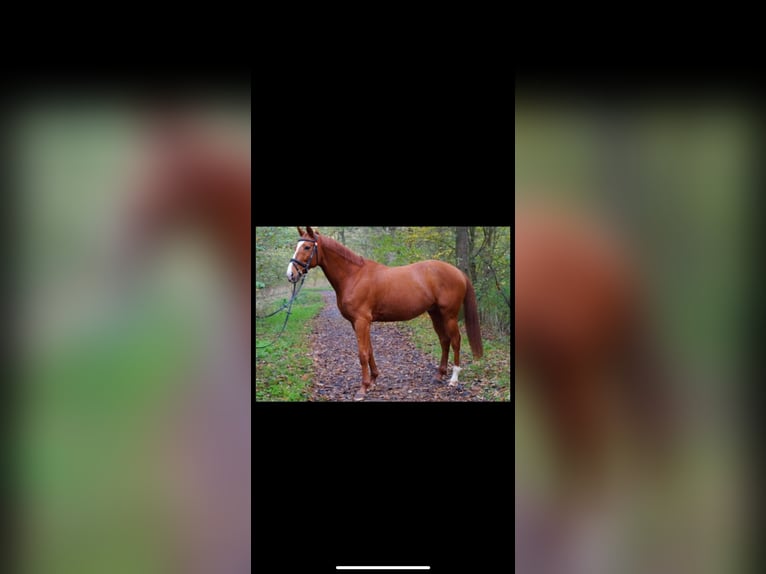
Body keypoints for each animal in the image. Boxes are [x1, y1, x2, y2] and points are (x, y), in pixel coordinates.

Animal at [287, 227, 483, 401]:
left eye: (307, 247)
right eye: (297, 245)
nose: (291, 274)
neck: (354, 275)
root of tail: (458, 272)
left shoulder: (361, 321)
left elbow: (362, 354)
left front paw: (363, 388)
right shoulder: (359, 322)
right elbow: (370, 350)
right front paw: (373, 380)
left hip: (449, 315)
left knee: (456, 340)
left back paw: (454, 378)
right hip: (435, 313)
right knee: (444, 340)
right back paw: (440, 375)